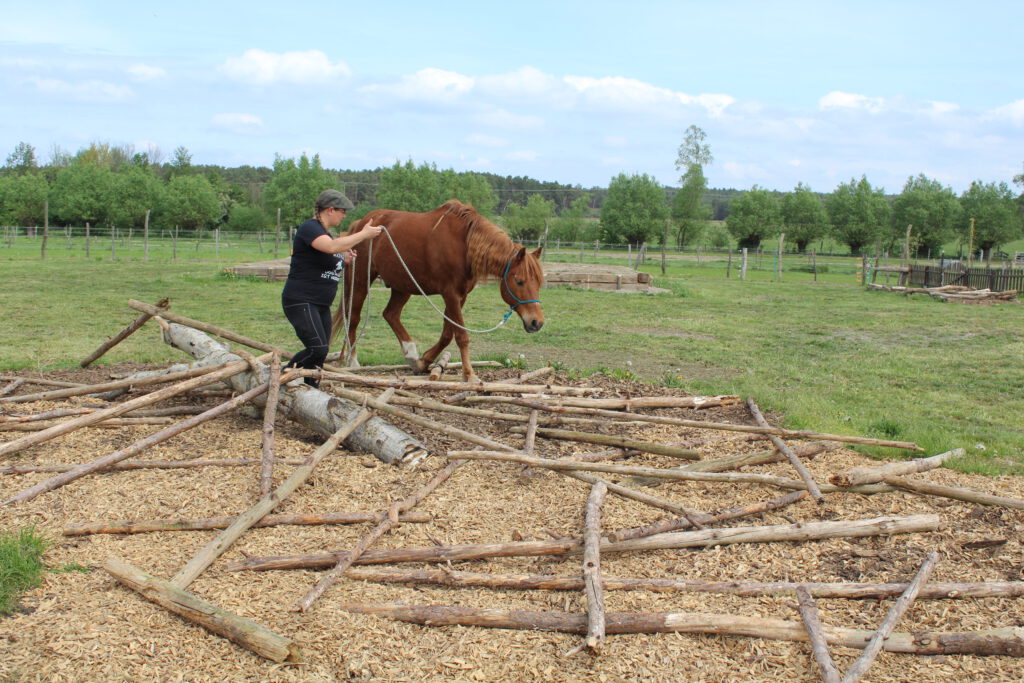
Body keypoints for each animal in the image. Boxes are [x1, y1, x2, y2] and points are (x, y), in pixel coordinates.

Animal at [333, 200, 544, 382]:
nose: (537, 323)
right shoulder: (450, 294)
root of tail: (362, 223)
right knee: (353, 318)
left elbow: (447, 333)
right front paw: (469, 374)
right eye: (520, 281)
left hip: (403, 286)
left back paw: (411, 354)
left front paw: (423, 361)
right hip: (361, 280)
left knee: (390, 314)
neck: (464, 245)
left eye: (539, 283)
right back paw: (353, 361)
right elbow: (461, 336)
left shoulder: (460, 297)